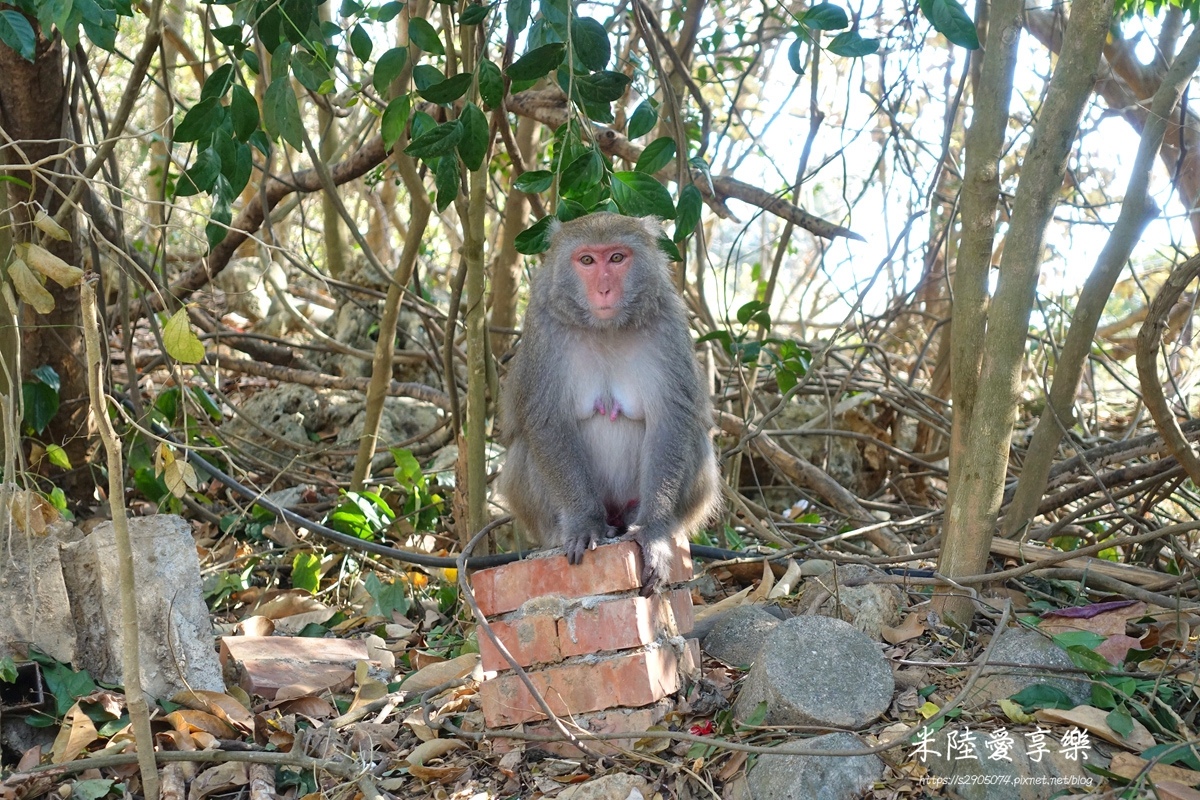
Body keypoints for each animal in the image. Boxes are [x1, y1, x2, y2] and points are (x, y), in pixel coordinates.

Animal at [494, 211, 715, 594]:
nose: (604, 289)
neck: (605, 327)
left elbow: (671, 421)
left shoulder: (668, 325)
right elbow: (547, 422)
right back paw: (565, 530)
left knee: (696, 441)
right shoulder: (543, 329)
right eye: (586, 260)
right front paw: (584, 523)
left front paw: (654, 533)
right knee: (524, 450)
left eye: (616, 258)